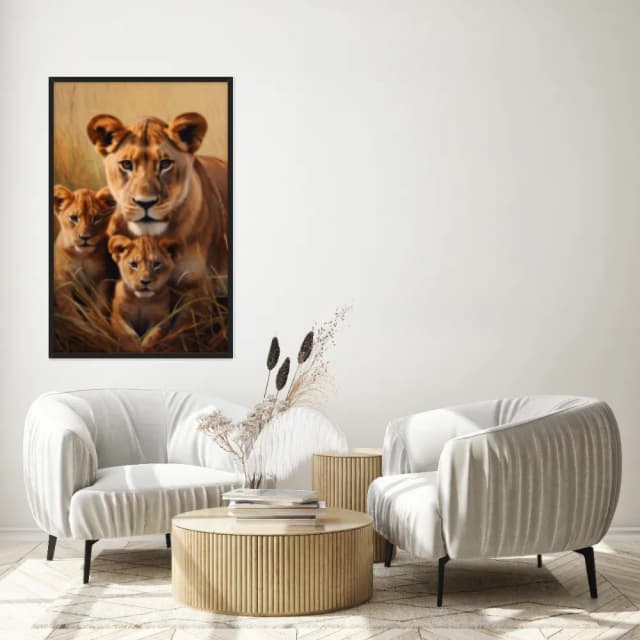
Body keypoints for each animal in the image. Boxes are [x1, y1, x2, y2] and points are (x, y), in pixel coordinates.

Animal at [53, 185, 116, 314]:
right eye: (73, 218)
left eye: (97, 218)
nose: (85, 237)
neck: (82, 255)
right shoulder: (63, 282)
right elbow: (69, 310)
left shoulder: (102, 280)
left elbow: (99, 308)